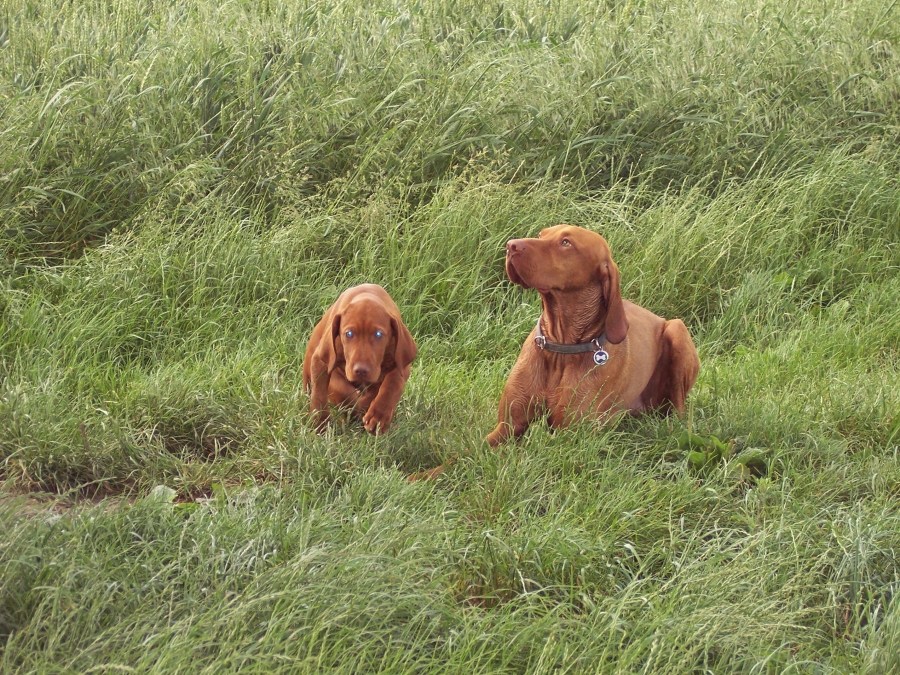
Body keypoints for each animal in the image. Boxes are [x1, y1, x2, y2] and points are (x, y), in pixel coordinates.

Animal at [302, 284, 417, 434]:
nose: (361, 371)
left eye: (378, 334)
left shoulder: (401, 363)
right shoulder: (322, 361)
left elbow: (393, 383)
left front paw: (378, 416)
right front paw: (319, 423)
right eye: (349, 334)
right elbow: (330, 392)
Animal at [486, 224, 699, 446]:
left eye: (566, 242)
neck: (560, 347)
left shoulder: (569, 436)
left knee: (678, 412)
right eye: (541, 235)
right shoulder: (507, 428)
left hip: (677, 328)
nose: (511, 245)